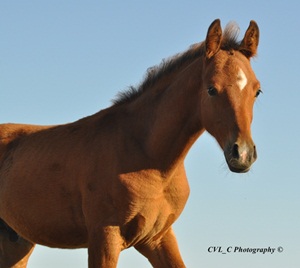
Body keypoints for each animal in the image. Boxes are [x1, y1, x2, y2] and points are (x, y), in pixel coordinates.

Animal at [0, 19, 260, 268]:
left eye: (257, 90)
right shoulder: (104, 235)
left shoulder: (157, 238)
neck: (148, 158)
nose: (243, 154)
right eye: (211, 89)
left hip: (17, 242)